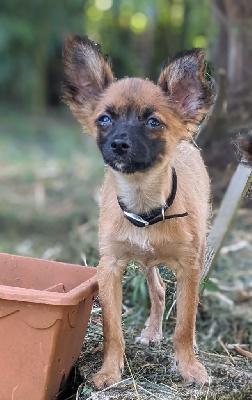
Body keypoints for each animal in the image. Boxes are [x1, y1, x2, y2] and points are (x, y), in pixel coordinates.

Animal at [62, 36, 215, 388]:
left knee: (181, 304)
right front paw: (109, 371)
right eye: (104, 119)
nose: (119, 144)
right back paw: (151, 331)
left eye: (153, 121)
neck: (144, 204)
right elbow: (111, 329)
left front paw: (189, 367)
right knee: (158, 290)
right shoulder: (109, 267)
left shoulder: (189, 268)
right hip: (146, 262)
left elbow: (184, 324)